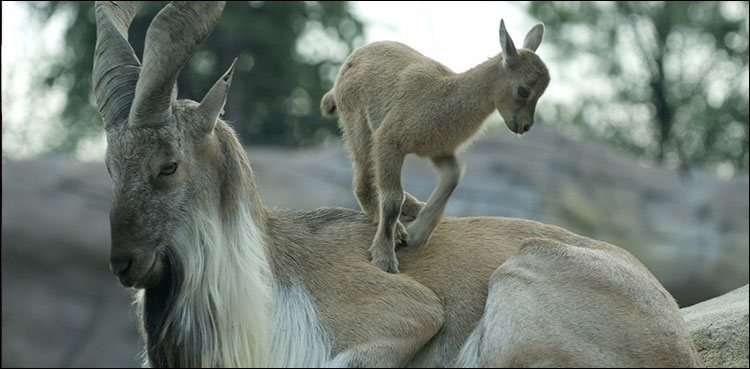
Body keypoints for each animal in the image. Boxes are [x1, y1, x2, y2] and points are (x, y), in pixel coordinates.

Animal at [94, 1, 704, 366]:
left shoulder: (400, 316)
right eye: (109, 165)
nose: (123, 263)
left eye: (168, 165)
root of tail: (674, 336)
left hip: (516, 291)